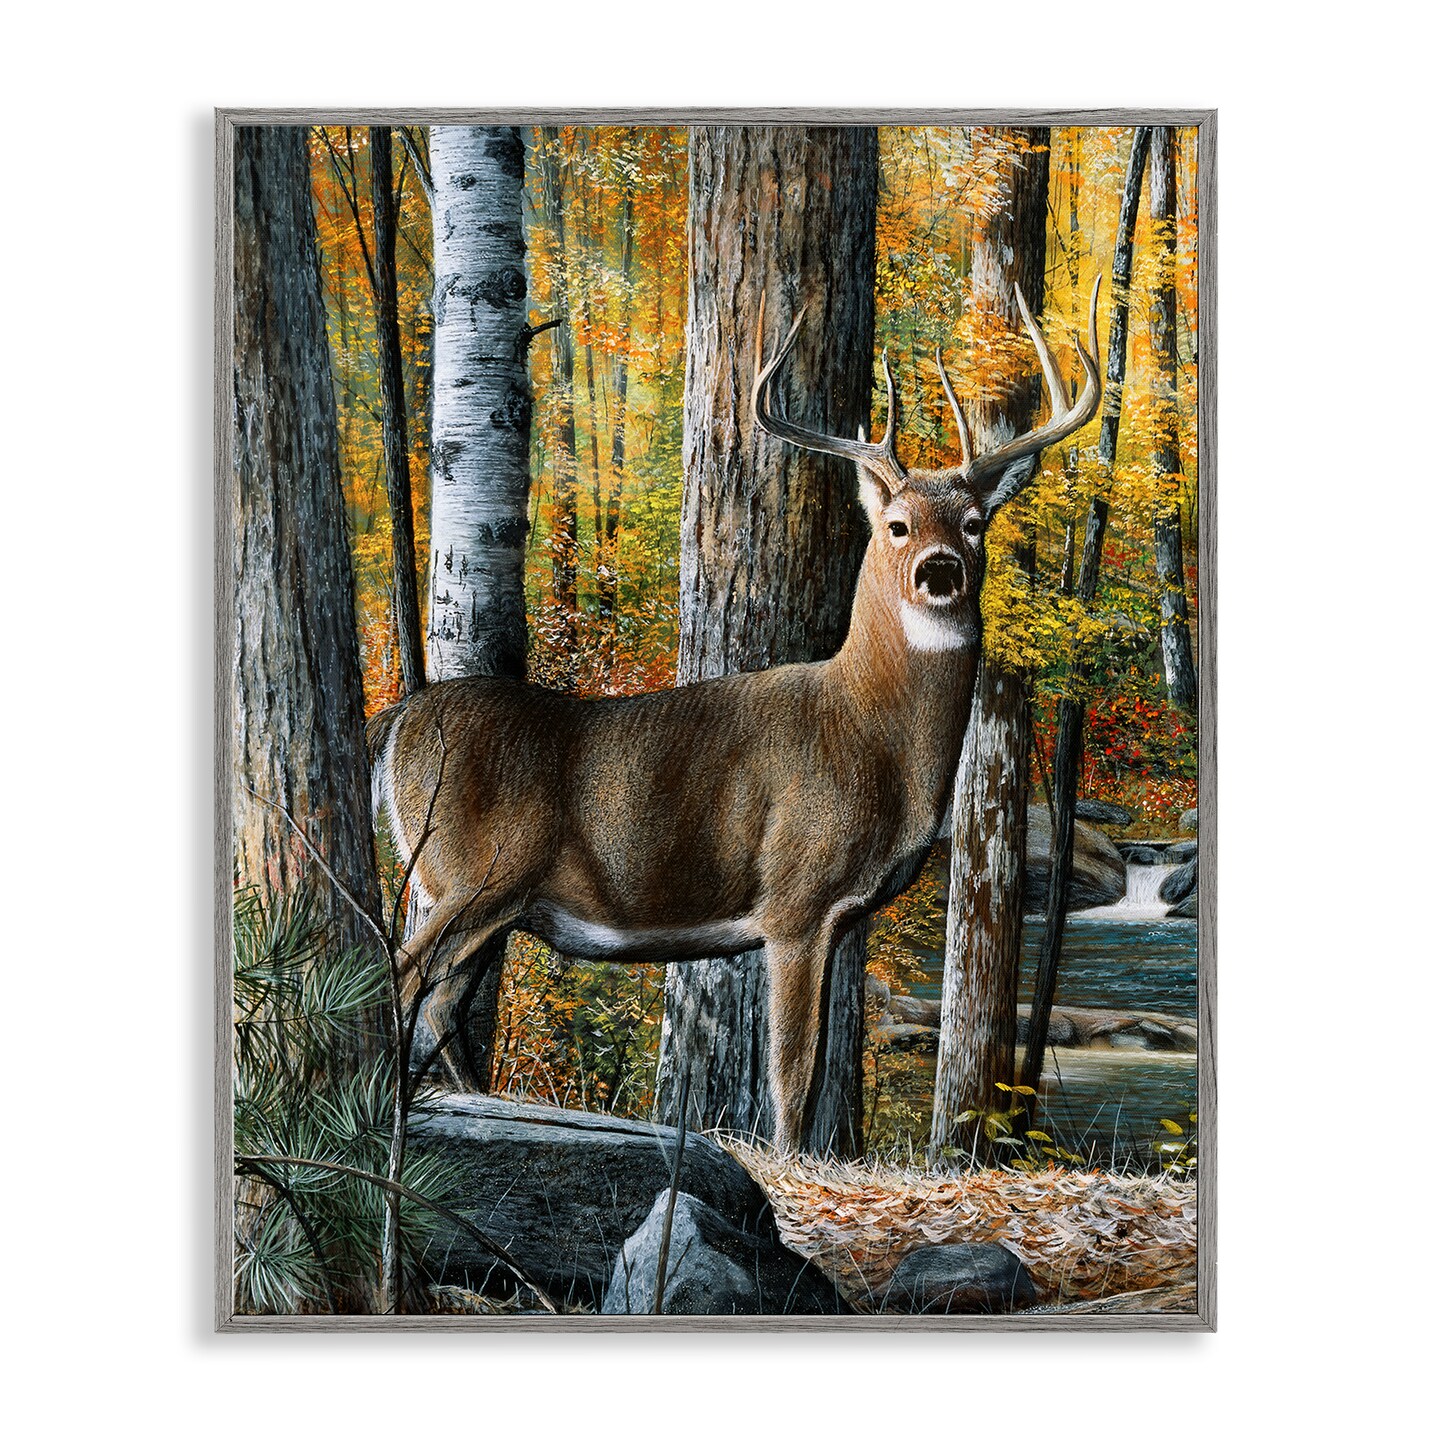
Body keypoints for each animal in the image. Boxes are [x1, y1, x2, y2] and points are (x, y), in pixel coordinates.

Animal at [367, 278, 1102, 1153]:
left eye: (974, 523)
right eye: (896, 525)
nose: (940, 570)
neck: (872, 735)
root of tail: (397, 724)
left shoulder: (840, 918)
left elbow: (813, 1069)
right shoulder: (795, 895)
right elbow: (794, 1072)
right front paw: (786, 1161)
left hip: (488, 897)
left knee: (438, 998)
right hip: (472, 869)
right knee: (401, 975)